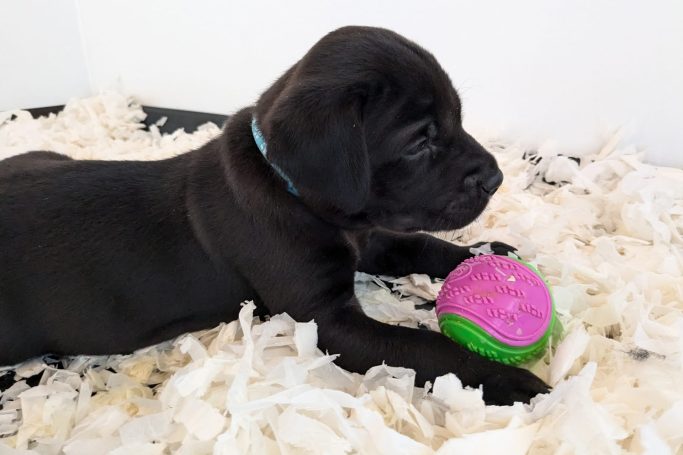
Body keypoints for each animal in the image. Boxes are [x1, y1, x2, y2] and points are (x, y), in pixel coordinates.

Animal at [0, 26, 544, 404]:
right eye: (419, 141)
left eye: (456, 118)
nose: (496, 178)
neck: (292, 192)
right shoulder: (327, 321)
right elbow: (426, 348)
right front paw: (505, 378)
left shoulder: (371, 237)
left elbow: (423, 244)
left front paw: (488, 255)